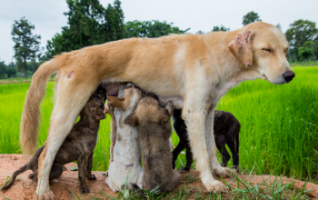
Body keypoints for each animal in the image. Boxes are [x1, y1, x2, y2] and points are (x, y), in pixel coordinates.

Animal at [19, 21, 294, 198]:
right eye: (266, 49)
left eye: (286, 50)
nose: (290, 75)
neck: (218, 53)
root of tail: (69, 55)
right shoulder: (194, 113)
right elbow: (202, 154)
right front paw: (209, 182)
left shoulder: (207, 112)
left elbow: (211, 150)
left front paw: (218, 171)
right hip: (67, 113)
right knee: (45, 156)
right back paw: (43, 191)